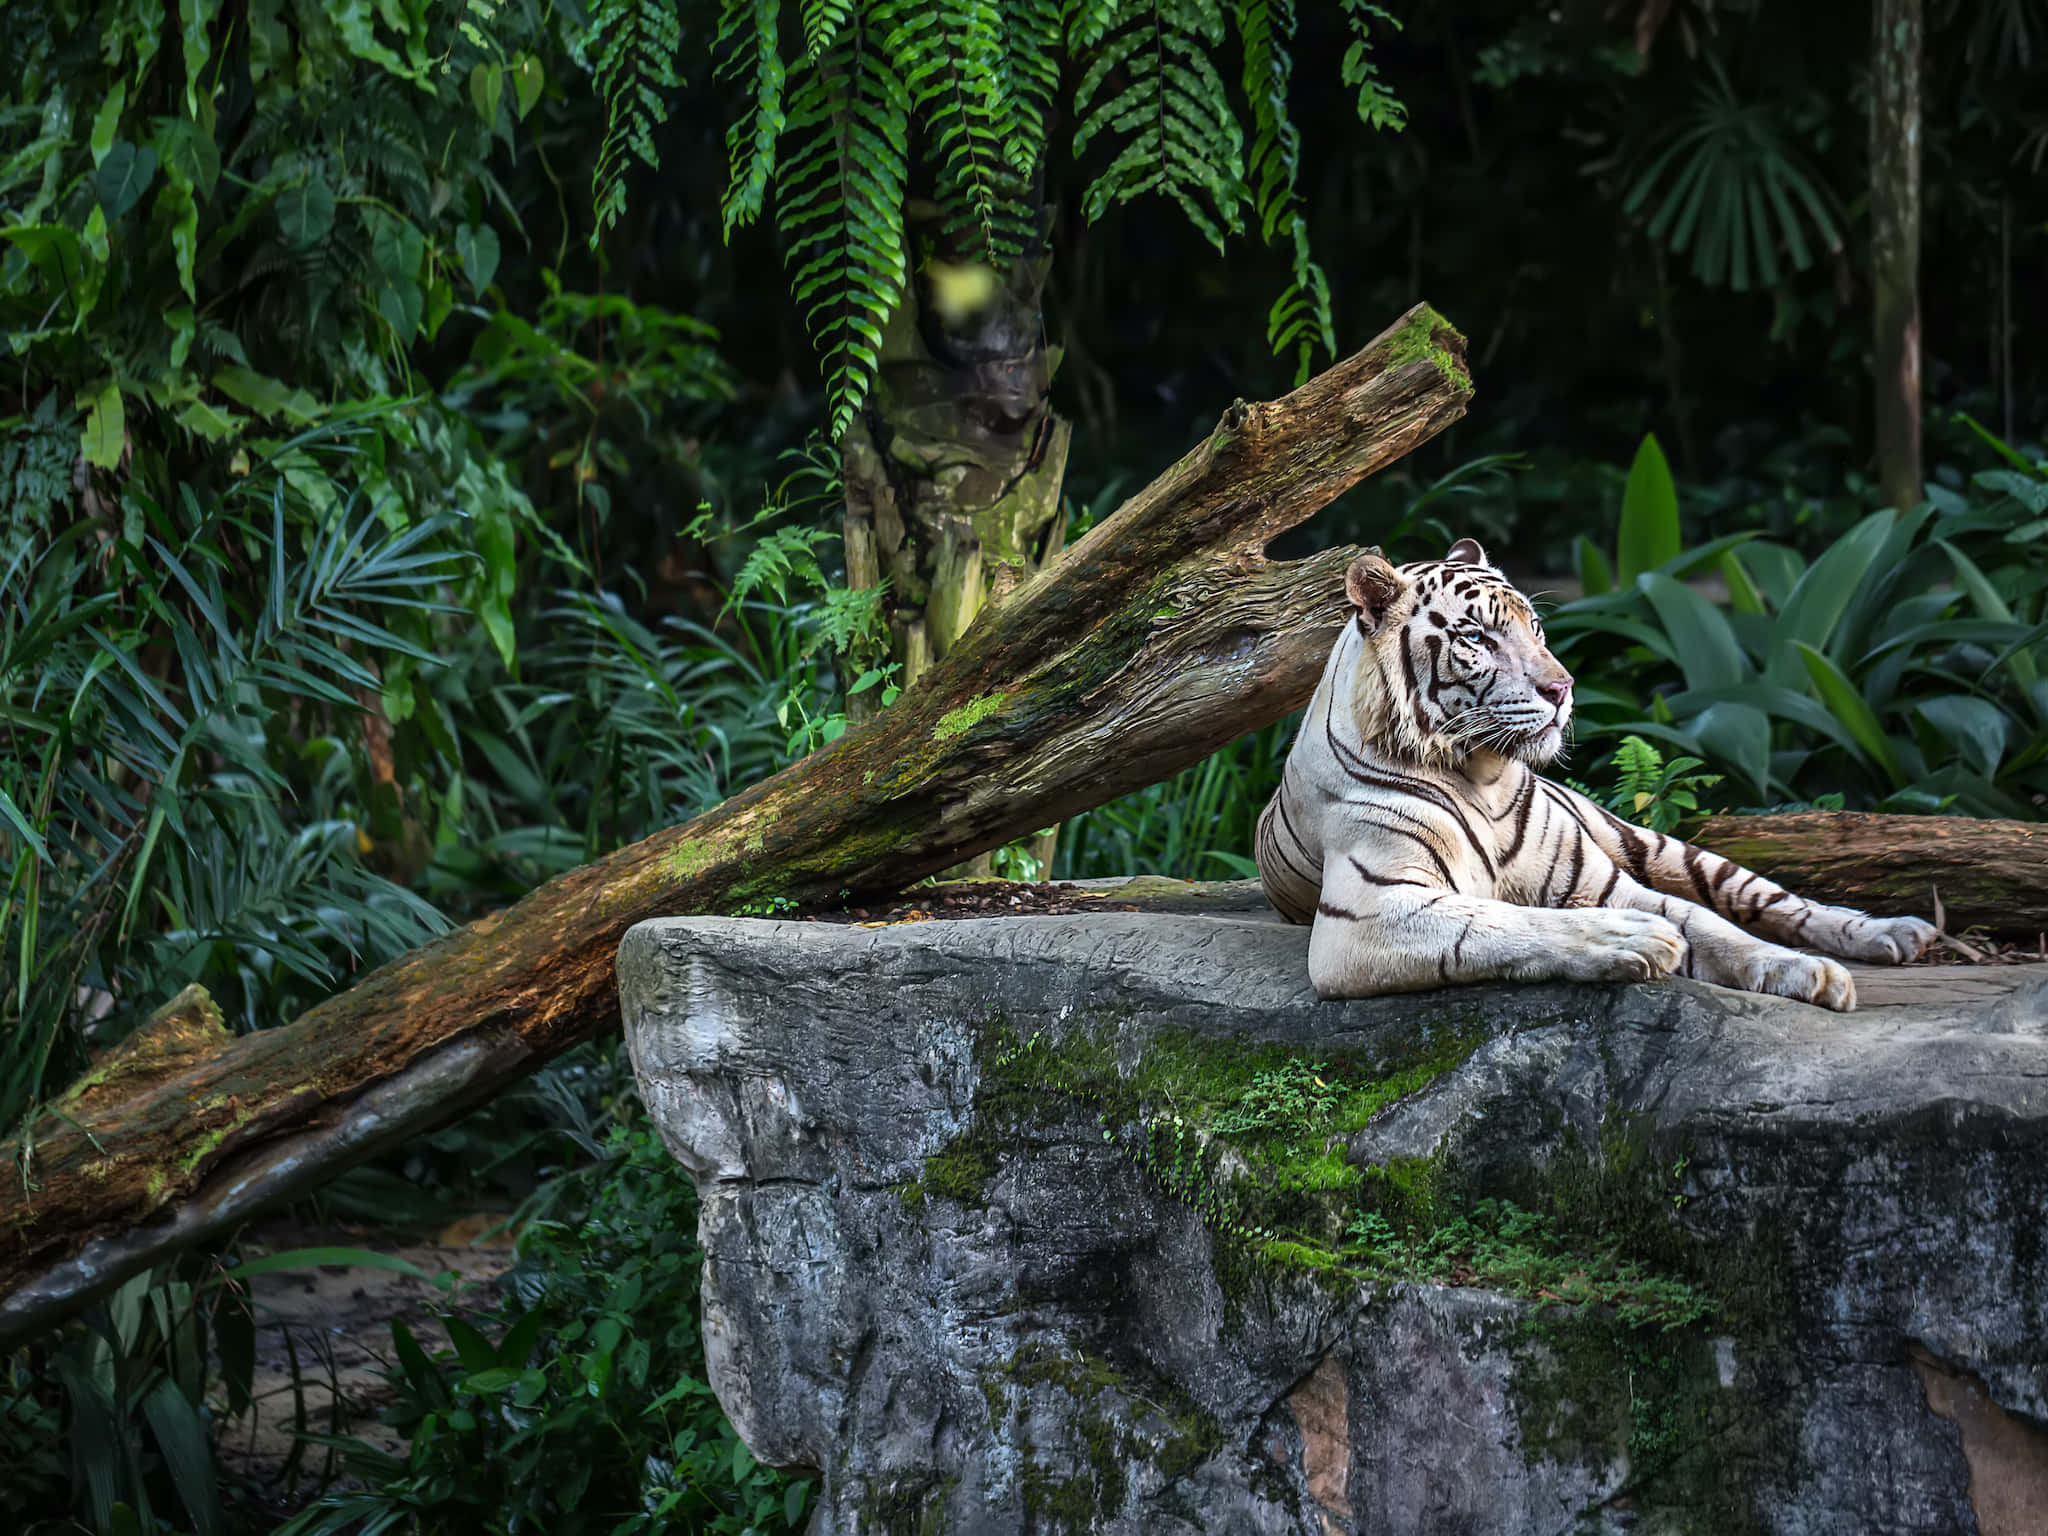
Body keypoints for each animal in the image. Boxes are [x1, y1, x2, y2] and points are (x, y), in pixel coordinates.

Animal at [1254, 538, 1938, 1010]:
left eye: (1535, 627)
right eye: (1477, 638)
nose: (1563, 688)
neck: (1484, 776)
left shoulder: (1602, 880)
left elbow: (1713, 927)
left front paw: (1810, 972)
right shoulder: (1366, 913)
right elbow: (1507, 921)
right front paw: (1634, 941)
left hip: (1655, 844)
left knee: (1771, 900)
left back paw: (1894, 933)